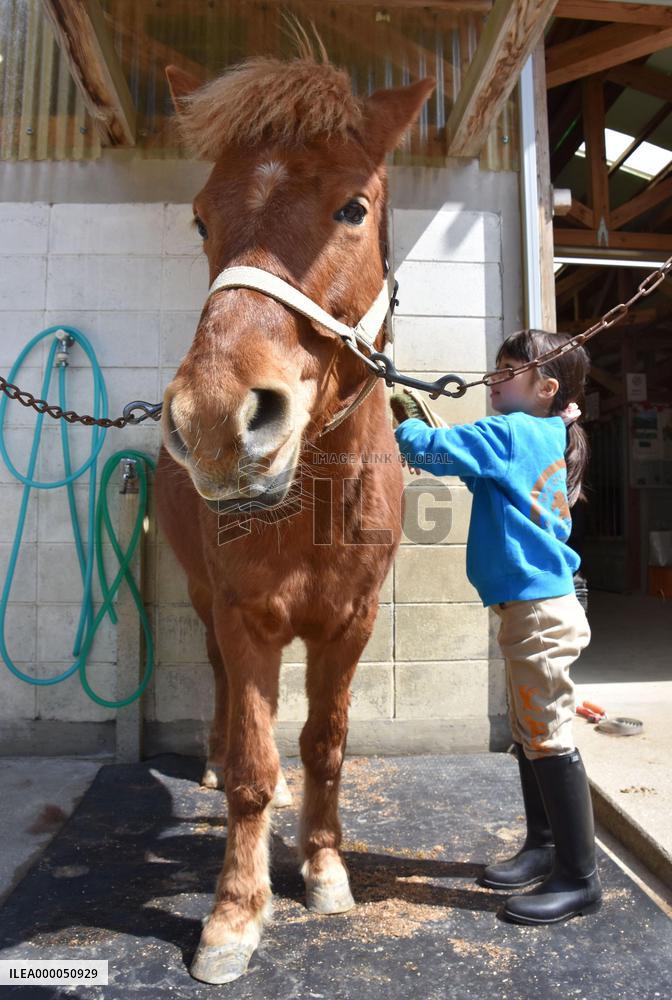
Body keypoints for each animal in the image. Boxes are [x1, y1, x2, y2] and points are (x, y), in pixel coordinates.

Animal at [154, 38, 435, 984]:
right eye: (201, 220)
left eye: (352, 208)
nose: (215, 419)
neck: (312, 500)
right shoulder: (245, 616)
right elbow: (253, 763)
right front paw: (235, 914)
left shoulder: (351, 622)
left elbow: (322, 745)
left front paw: (322, 869)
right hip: (203, 600)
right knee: (215, 685)